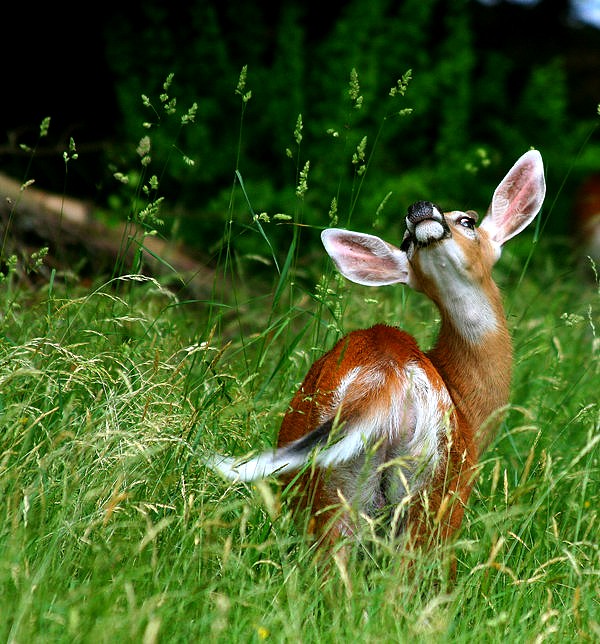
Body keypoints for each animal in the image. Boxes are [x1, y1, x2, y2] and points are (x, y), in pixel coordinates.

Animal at [205, 151, 544, 560]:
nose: (419, 209)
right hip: (431, 498)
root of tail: (389, 373)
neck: (470, 405)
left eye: (468, 220)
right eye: (405, 240)